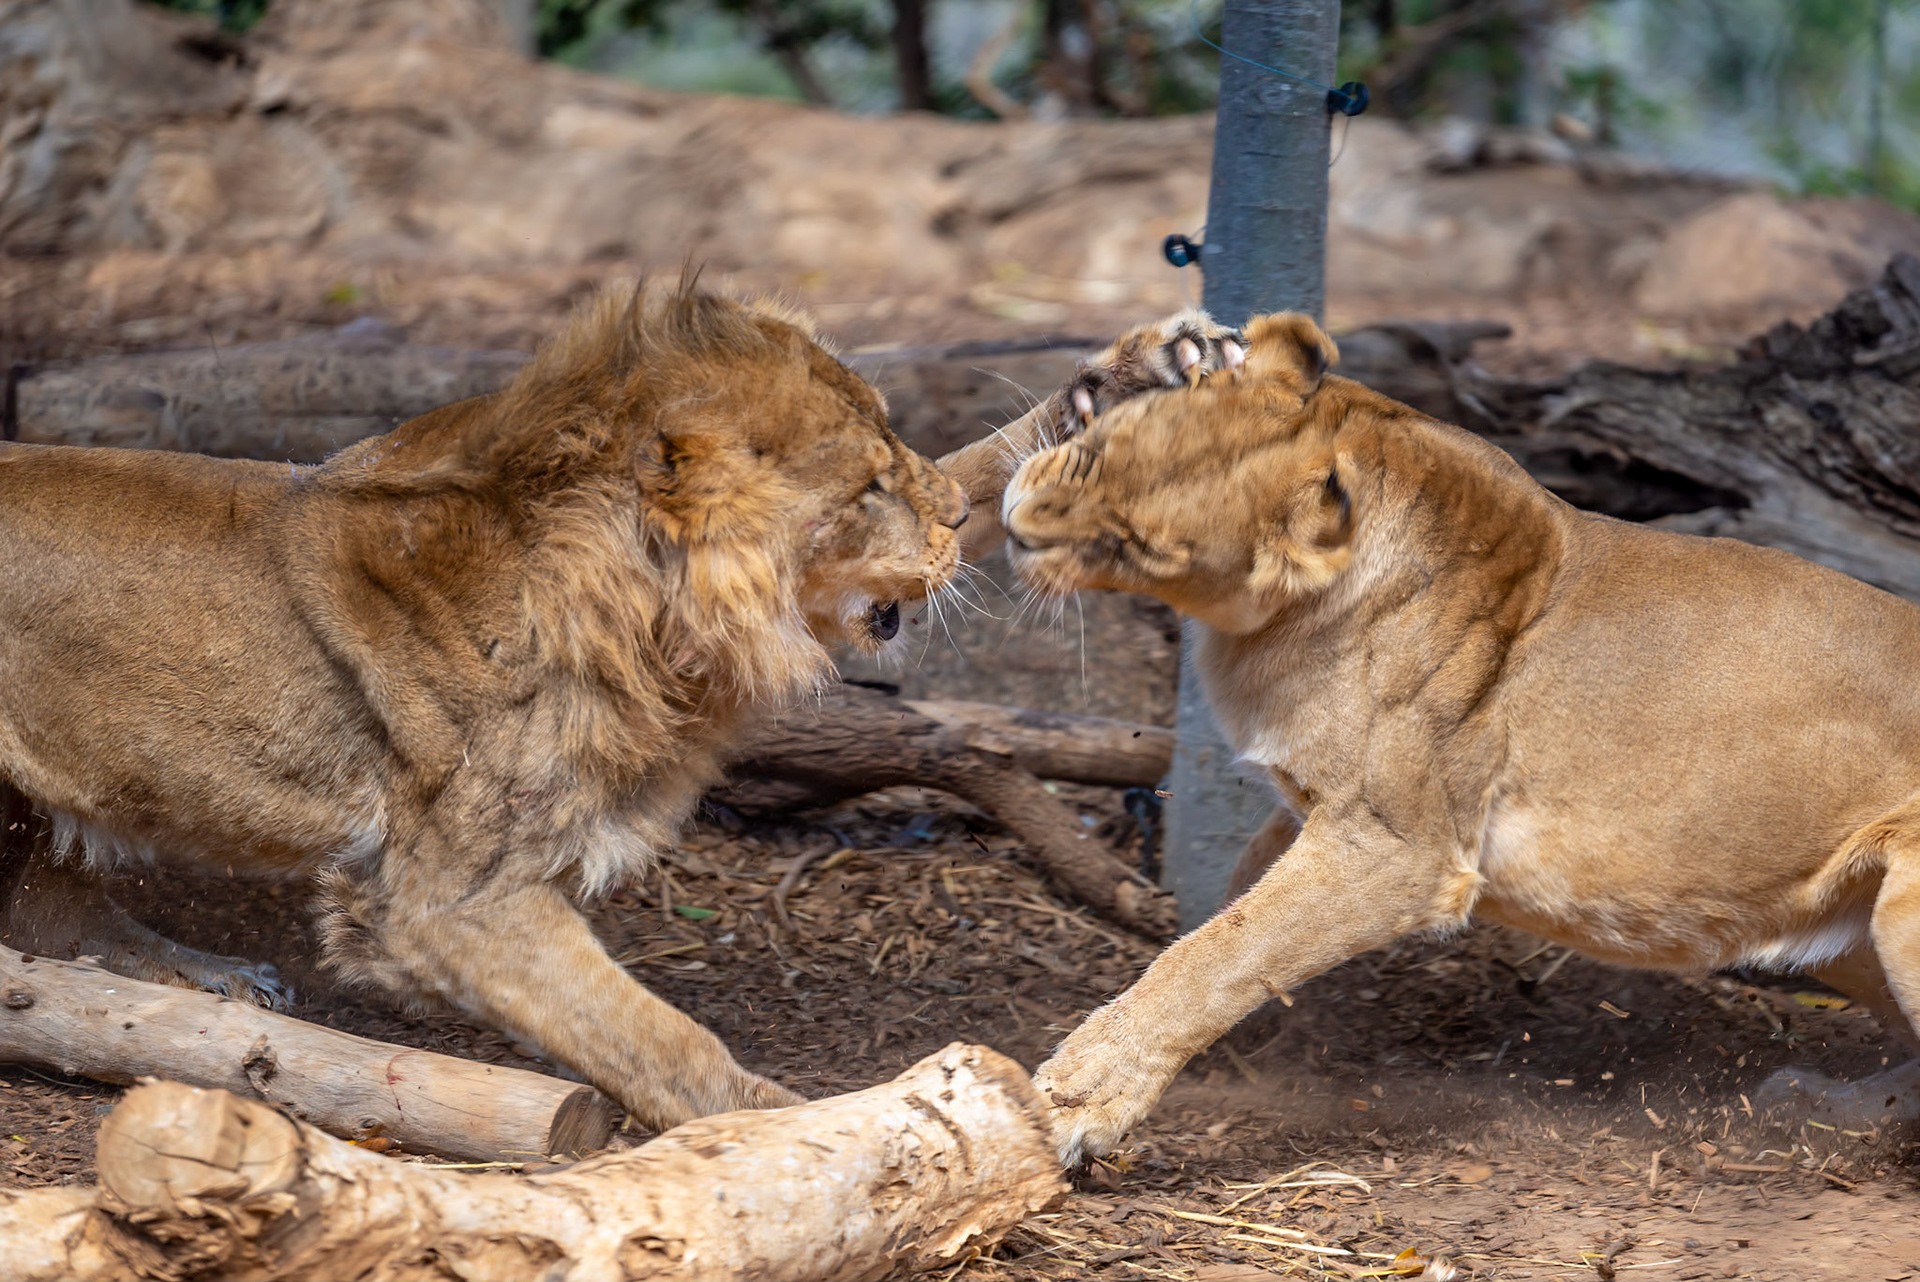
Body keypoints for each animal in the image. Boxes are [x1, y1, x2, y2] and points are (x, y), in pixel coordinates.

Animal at [0, 285, 1242, 1132]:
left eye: (898, 450)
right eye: (869, 488)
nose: (938, 523)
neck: (651, 622)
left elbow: (990, 462)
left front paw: (1141, 371)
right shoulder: (451, 898)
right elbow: (660, 1037)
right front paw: (795, 1137)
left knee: (53, 908)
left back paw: (199, 979)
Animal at [998, 311, 1920, 1164]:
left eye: (1135, 544)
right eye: (1096, 449)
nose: (1013, 523)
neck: (1272, 628)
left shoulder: (1397, 852)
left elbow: (1218, 955)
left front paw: (1074, 1099)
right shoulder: (1317, 809)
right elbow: (1235, 906)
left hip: (1902, 908)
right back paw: (1814, 1103)